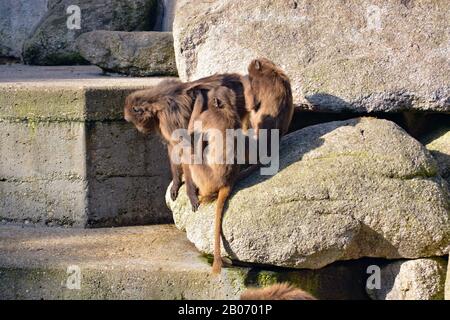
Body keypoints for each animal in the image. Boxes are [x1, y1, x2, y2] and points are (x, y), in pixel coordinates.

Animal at [124, 74, 250, 211]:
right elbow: (173, 147)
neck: (156, 100)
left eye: (134, 121)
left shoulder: (169, 117)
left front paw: (190, 192)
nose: (139, 129)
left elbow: (185, 147)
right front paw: (176, 182)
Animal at [187, 86, 243, 274]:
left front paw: (198, 96)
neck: (226, 109)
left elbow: (189, 133)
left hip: (205, 177)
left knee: (192, 151)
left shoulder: (207, 117)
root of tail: (227, 182)